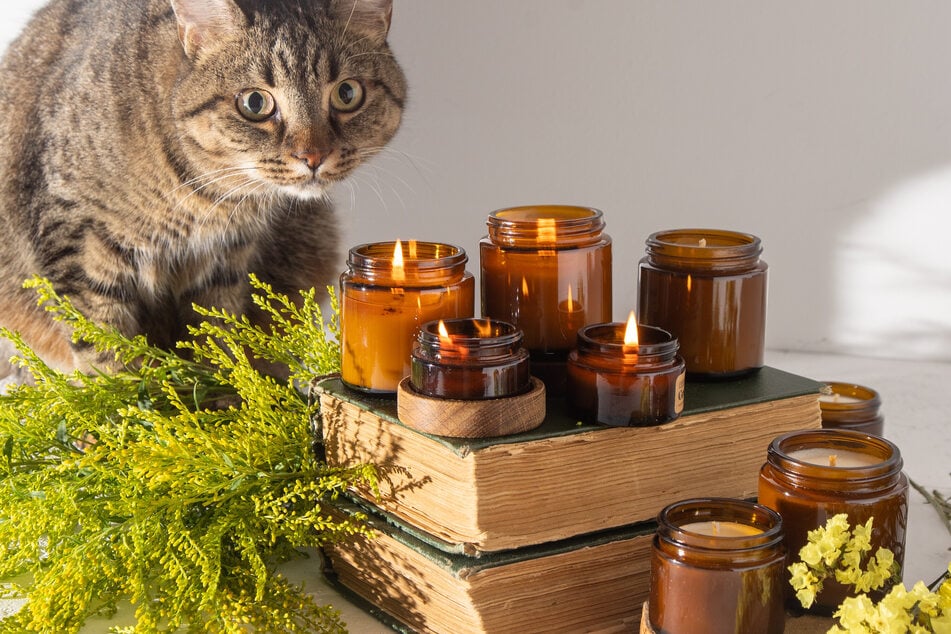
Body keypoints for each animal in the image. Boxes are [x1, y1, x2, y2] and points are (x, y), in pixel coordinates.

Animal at [0, 0, 406, 378]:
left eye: (347, 94)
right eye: (255, 103)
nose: (313, 156)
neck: (199, 197)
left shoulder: (224, 261)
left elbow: (215, 339)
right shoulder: (79, 245)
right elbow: (106, 350)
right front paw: (125, 398)